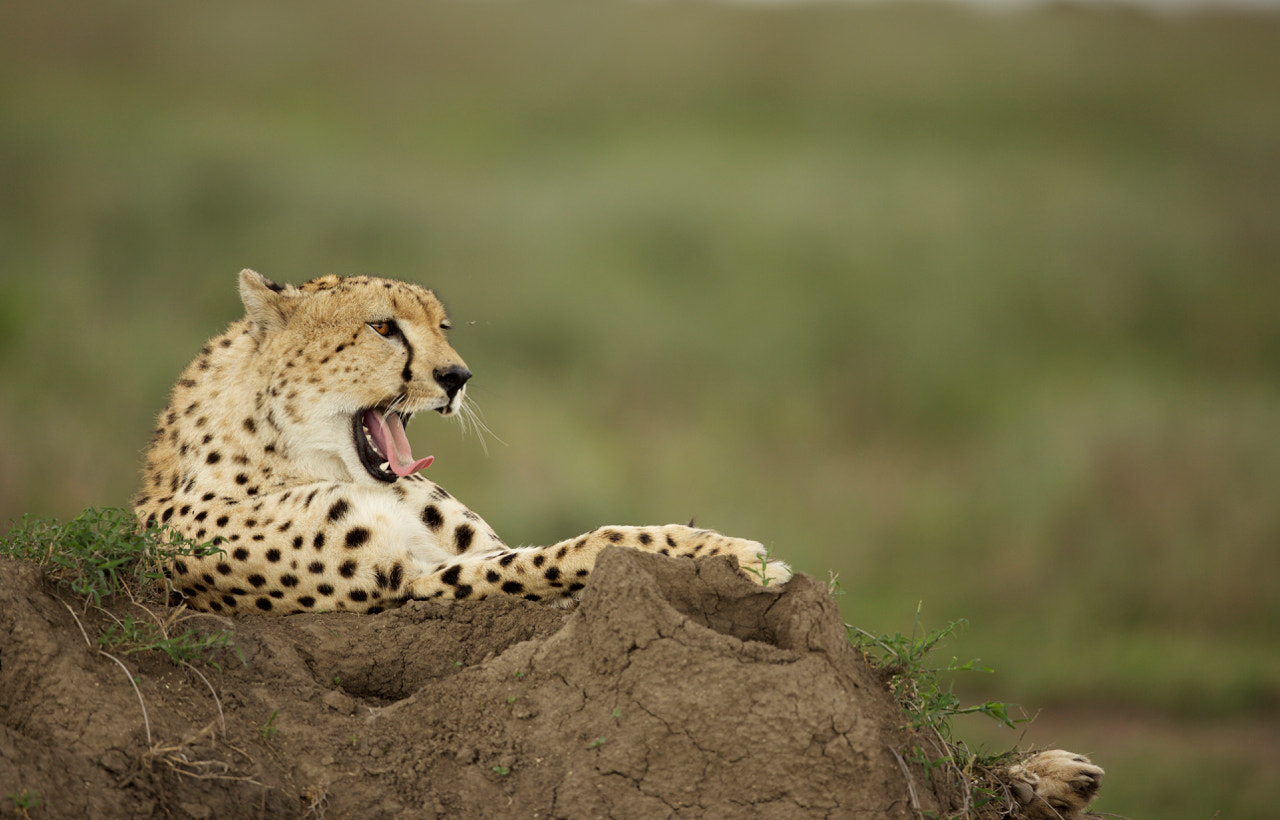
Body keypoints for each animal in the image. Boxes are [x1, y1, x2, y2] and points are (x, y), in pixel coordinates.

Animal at [133, 270, 1103, 817]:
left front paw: (1029, 771)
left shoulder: (455, 562)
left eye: (443, 325)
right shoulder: (413, 592)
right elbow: (584, 547)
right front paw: (723, 550)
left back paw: (1050, 778)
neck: (285, 447)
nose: (457, 377)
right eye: (382, 326)